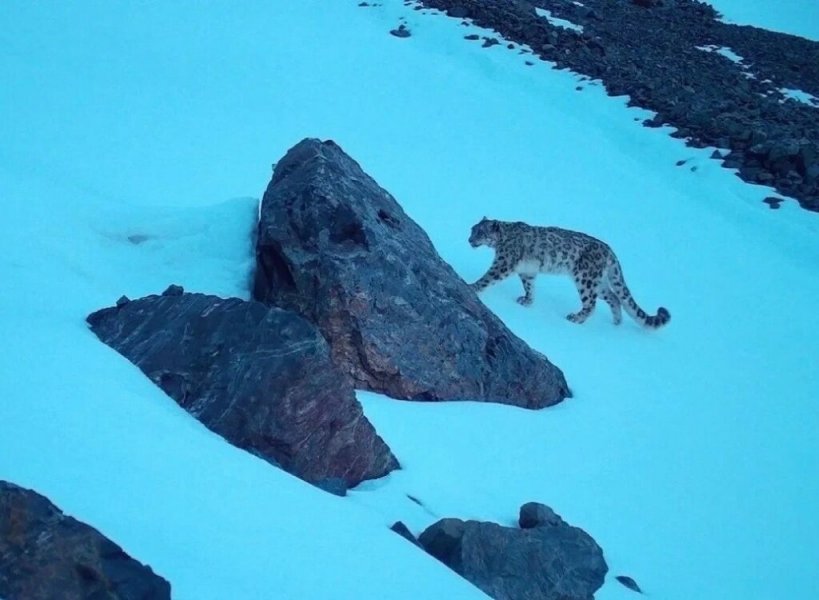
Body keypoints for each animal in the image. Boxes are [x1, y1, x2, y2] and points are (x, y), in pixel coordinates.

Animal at [470, 218, 668, 328]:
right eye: (472, 229)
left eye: (480, 232)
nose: (469, 240)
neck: (501, 240)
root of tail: (610, 251)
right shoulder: (528, 271)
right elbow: (529, 286)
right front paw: (527, 300)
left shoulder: (504, 263)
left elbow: (488, 278)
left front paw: (472, 286)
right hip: (599, 283)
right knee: (614, 297)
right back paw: (617, 322)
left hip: (585, 279)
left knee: (591, 304)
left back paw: (576, 318)